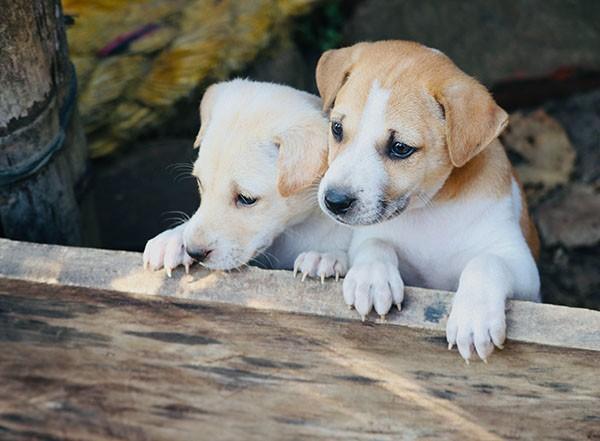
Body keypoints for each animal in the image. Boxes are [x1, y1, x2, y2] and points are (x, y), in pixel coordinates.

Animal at [143, 78, 350, 276]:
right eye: (200, 182)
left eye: (246, 199)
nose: (194, 252)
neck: (296, 228)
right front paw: (172, 239)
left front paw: (324, 257)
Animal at [314, 41, 540, 360]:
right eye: (337, 129)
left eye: (400, 148)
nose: (334, 201)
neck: (431, 207)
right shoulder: (373, 234)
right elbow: (374, 243)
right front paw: (371, 278)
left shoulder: (524, 270)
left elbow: (486, 261)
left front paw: (474, 317)